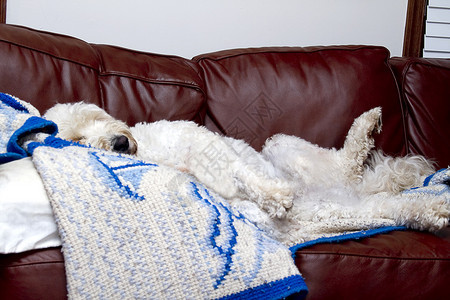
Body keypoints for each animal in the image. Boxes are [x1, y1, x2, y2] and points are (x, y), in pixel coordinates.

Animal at [44, 102, 448, 244]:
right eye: (75, 140)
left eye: (97, 117)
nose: (119, 143)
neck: (154, 152)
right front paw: (273, 199)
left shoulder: (199, 141)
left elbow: (235, 171)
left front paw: (273, 194)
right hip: (337, 209)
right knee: (393, 205)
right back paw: (436, 210)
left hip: (284, 147)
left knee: (348, 162)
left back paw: (366, 124)